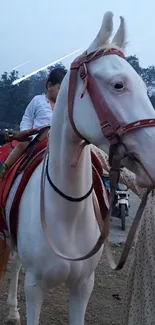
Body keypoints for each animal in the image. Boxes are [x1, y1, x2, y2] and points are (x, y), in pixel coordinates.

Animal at [3, 10, 155, 324]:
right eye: (118, 85)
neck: (67, 215)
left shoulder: (84, 286)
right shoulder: (35, 288)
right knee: (14, 263)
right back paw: (12, 309)